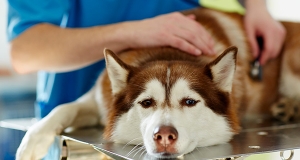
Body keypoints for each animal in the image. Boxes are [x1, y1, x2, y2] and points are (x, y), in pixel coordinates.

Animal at [15, 7, 300, 159]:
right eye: (146, 102)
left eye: (190, 102)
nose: (164, 135)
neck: (167, 52)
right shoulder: (99, 100)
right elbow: (63, 108)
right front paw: (32, 143)